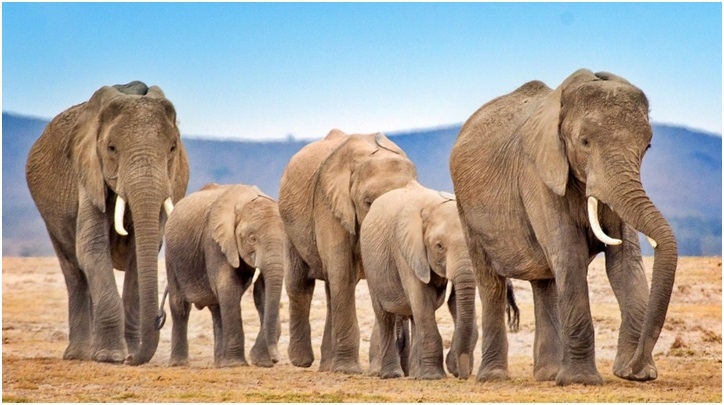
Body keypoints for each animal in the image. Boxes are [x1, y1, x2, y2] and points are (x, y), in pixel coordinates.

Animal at [25, 81, 189, 365]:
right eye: (112, 148)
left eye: (172, 148)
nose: (159, 318)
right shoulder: (88, 174)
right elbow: (91, 247)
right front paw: (110, 357)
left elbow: (138, 254)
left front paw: (128, 352)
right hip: (50, 217)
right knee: (74, 272)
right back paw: (79, 354)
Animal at [163, 183, 284, 368]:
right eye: (252, 238)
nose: (275, 358)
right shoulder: (215, 241)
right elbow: (228, 287)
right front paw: (238, 364)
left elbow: (262, 291)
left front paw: (259, 361)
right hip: (172, 257)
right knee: (180, 306)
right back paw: (179, 364)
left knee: (217, 308)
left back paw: (220, 364)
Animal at [278, 129, 417, 374]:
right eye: (368, 202)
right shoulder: (329, 205)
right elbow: (341, 272)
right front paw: (347, 370)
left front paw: (376, 372)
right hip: (289, 225)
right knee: (300, 284)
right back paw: (303, 361)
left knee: (331, 291)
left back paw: (327, 366)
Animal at [362, 181, 519, 380]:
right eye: (439, 246)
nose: (461, 373)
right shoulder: (406, 250)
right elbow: (422, 299)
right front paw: (434, 377)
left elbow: (454, 303)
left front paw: (446, 370)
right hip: (371, 267)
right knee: (386, 318)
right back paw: (393, 375)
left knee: (415, 318)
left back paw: (415, 375)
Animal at [449, 69, 678, 386]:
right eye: (584, 142)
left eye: (647, 146)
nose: (634, 366)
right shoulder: (538, 175)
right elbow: (570, 254)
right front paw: (582, 380)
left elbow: (624, 260)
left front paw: (637, 375)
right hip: (466, 210)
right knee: (491, 283)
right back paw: (493, 377)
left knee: (545, 280)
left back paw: (547, 375)